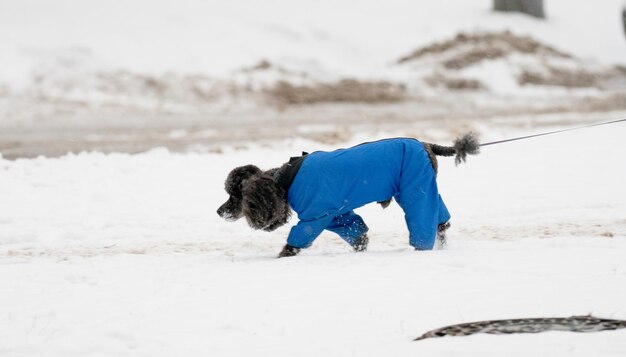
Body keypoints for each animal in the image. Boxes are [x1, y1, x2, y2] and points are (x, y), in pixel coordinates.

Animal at [216, 135, 478, 258]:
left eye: (234, 196)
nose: (219, 211)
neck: (285, 180)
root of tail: (426, 145)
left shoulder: (315, 215)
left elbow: (298, 238)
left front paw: (282, 256)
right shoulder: (335, 214)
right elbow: (354, 229)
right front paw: (361, 247)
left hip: (415, 189)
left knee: (423, 218)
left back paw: (422, 248)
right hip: (423, 186)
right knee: (441, 221)